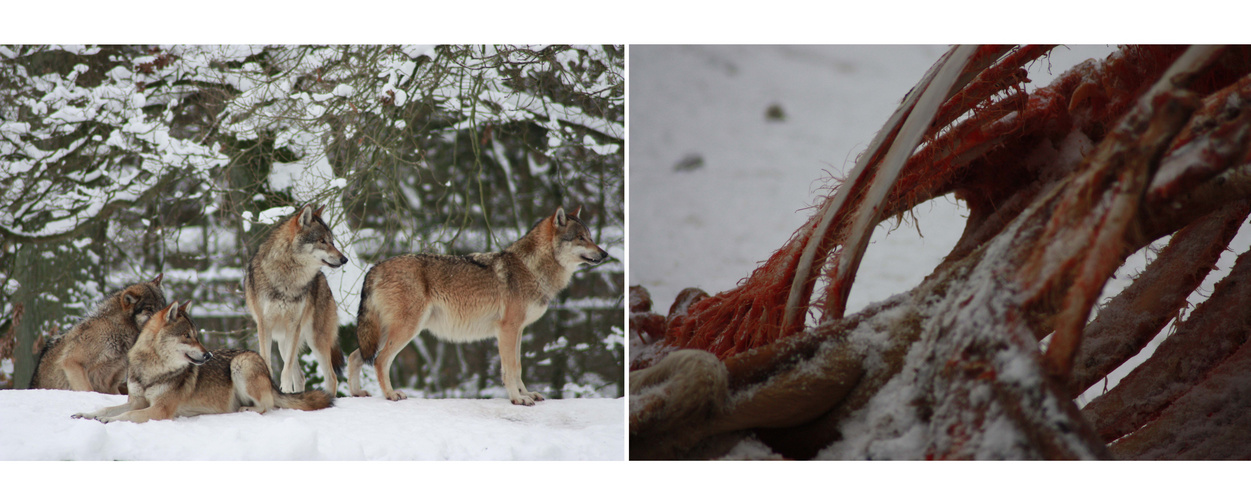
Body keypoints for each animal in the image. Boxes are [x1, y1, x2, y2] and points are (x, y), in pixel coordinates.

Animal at [30, 273, 167, 395]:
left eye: (162, 307)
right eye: (149, 309)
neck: (117, 328)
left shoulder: (112, 383)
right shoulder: (72, 362)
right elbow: (89, 390)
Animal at [70, 298, 330, 425]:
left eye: (197, 335)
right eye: (188, 336)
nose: (208, 356)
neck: (152, 369)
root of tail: (269, 374)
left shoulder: (160, 409)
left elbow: (126, 416)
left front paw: (107, 420)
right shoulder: (136, 401)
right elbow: (107, 407)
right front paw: (86, 414)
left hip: (242, 363)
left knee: (268, 405)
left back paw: (245, 409)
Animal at [243, 202, 347, 395]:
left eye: (332, 241)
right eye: (322, 241)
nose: (344, 259)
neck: (289, 278)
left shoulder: (294, 326)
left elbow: (286, 369)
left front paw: (284, 389)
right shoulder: (264, 325)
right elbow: (268, 363)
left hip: (315, 340)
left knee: (331, 377)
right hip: (283, 342)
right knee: (301, 377)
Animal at [347, 205, 610, 405]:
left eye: (590, 237)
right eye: (581, 238)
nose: (605, 254)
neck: (531, 268)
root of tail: (374, 267)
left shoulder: (518, 331)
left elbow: (518, 367)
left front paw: (526, 394)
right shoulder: (507, 329)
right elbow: (510, 368)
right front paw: (517, 399)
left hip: (383, 332)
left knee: (354, 356)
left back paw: (356, 393)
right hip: (406, 330)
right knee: (380, 360)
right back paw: (391, 394)